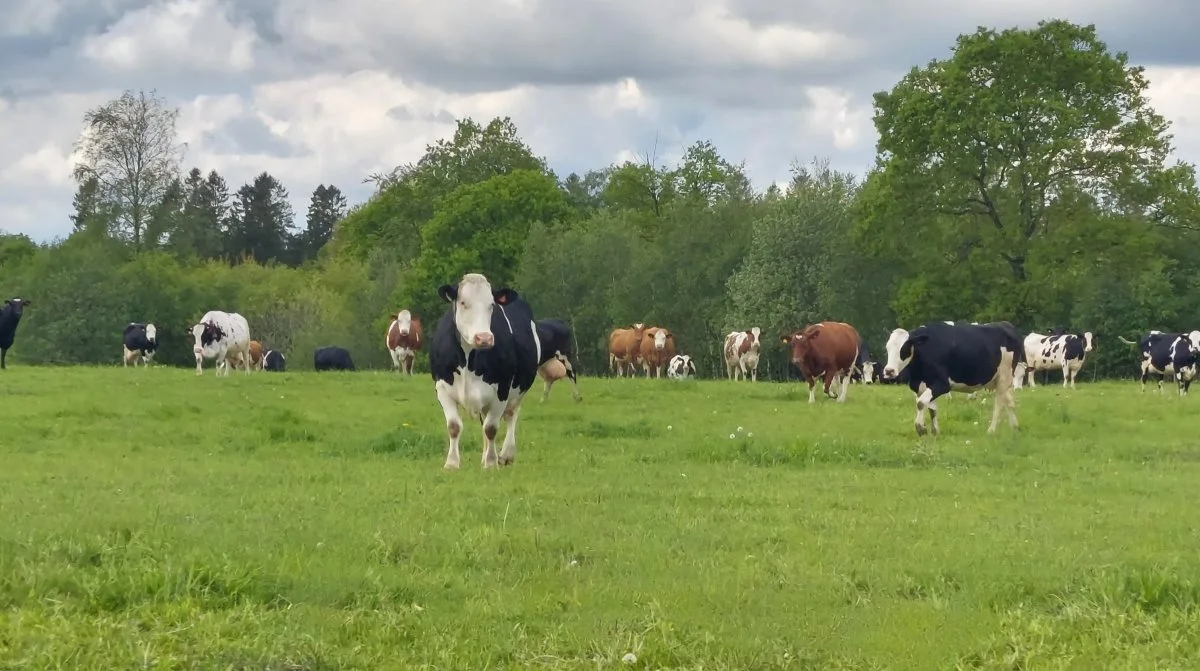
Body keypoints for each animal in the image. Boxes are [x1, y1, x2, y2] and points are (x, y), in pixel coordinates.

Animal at [429, 270, 542, 470]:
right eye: (463, 302)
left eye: (491, 305)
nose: (484, 338)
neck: (468, 361)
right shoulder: (442, 388)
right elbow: (454, 426)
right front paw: (452, 463)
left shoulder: (502, 390)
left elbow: (491, 428)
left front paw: (490, 463)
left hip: (518, 391)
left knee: (511, 415)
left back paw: (505, 455)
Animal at [883, 324, 1022, 439]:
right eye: (887, 347)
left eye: (904, 348)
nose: (889, 371)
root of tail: (1005, 324)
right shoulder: (922, 386)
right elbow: (931, 408)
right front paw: (934, 431)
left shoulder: (942, 384)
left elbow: (921, 403)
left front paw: (920, 428)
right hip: (1000, 380)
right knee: (1009, 401)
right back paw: (1014, 427)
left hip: (1004, 376)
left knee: (999, 404)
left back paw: (991, 431)